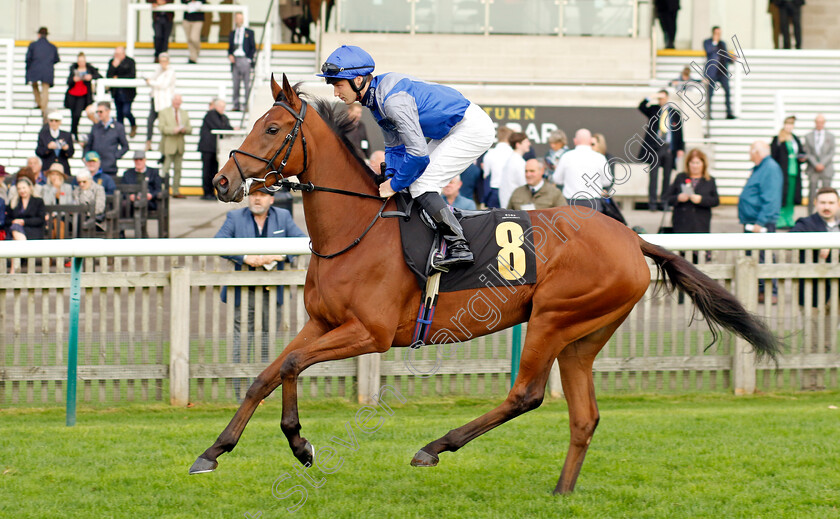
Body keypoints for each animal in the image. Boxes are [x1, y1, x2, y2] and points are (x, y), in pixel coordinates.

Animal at [190, 76, 780, 496]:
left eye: (271, 129)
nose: (220, 181)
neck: (356, 230)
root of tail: (632, 238)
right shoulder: (323, 322)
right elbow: (265, 376)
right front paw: (217, 451)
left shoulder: (369, 333)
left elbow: (289, 366)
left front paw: (299, 444)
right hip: (584, 335)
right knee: (584, 416)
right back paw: (561, 492)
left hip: (552, 318)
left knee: (526, 395)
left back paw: (435, 446)